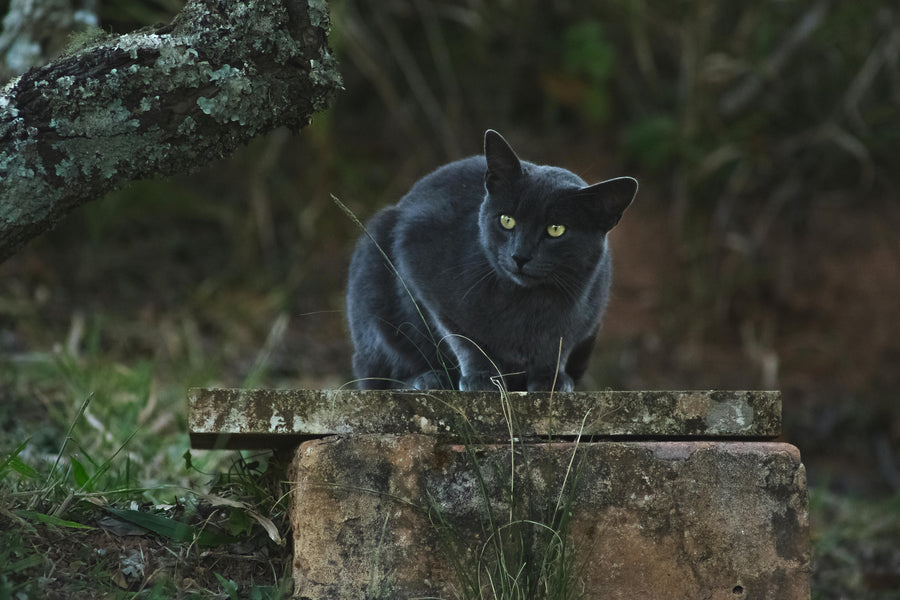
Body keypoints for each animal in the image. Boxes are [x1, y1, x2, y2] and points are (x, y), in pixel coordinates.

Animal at [346, 130, 640, 394]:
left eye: (556, 229)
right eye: (506, 220)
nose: (519, 256)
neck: (526, 302)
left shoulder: (588, 312)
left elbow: (559, 344)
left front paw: (551, 379)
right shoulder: (417, 261)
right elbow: (462, 336)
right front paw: (482, 378)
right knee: (379, 374)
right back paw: (428, 379)